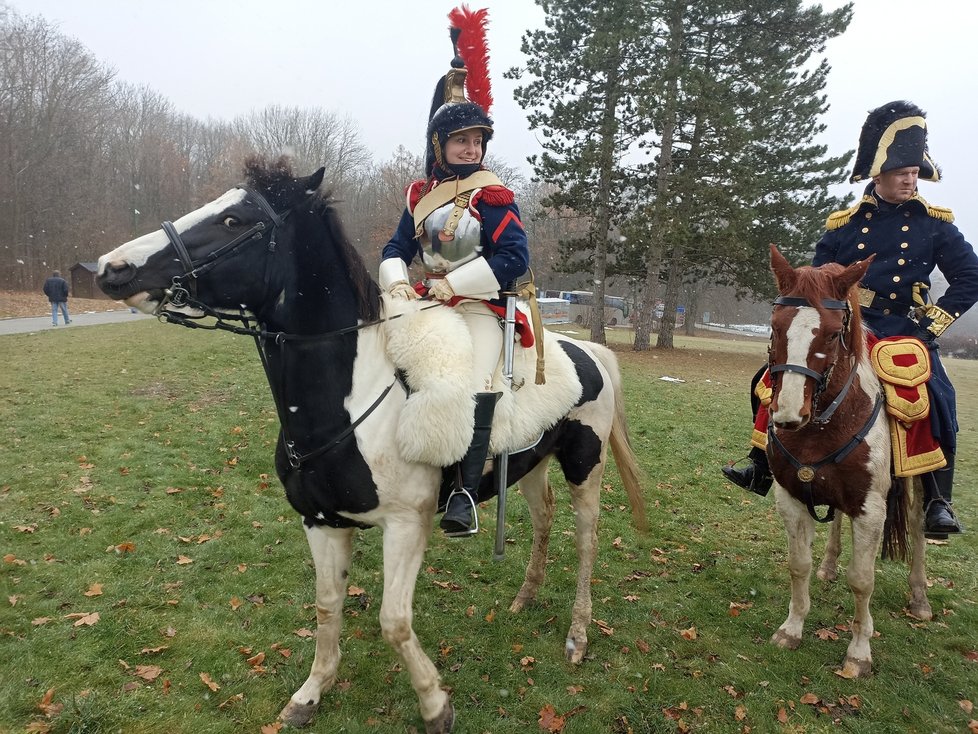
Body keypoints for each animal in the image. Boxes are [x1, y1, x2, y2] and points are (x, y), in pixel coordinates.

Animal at [97, 158, 648, 732]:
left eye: (233, 221)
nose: (111, 269)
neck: (349, 400)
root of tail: (589, 351)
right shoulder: (321, 522)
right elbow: (327, 607)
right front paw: (311, 692)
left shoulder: (406, 525)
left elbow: (393, 621)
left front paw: (434, 704)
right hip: (532, 465)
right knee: (543, 518)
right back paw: (524, 598)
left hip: (586, 465)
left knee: (585, 541)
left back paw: (577, 636)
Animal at [764, 246, 932, 680]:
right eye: (775, 326)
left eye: (831, 331)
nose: (788, 414)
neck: (822, 426)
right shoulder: (790, 497)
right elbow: (798, 564)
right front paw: (791, 629)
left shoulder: (870, 508)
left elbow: (862, 580)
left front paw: (858, 652)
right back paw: (829, 565)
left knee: (918, 525)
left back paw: (919, 597)